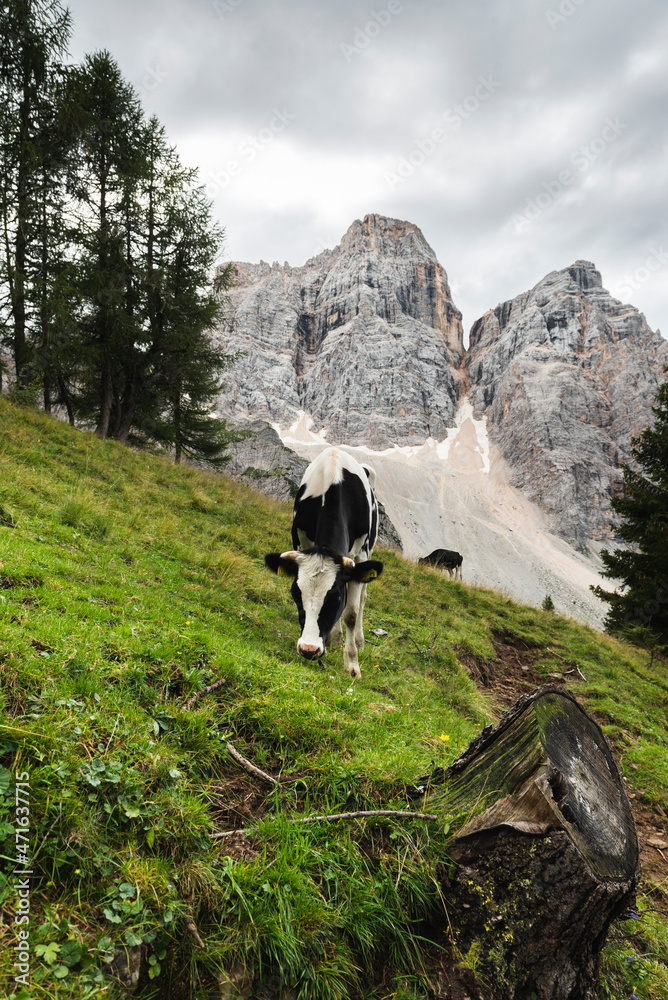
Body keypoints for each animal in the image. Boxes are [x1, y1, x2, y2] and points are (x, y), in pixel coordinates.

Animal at [264, 452, 384, 680]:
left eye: (335, 597)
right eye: (295, 593)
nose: (308, 650)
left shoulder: (361, 556)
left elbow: (351, 613)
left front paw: (352, 664)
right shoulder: (300, 541)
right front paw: (330, 640)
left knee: (362, 599)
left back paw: (359, 641)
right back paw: (334, 637)